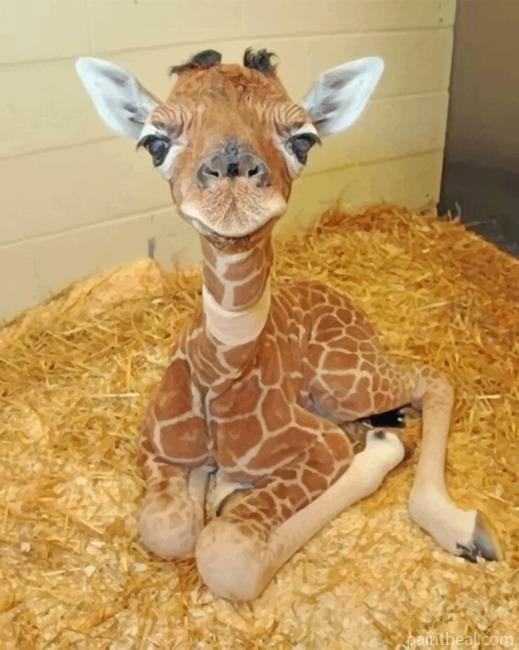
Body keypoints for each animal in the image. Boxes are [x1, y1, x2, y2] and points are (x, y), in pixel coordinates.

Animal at [76, 49, 502, 601]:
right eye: (155, 141)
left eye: (303, 138)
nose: (232, 175)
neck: (220, 375)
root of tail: (345, 302)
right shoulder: (154, 443)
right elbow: (169, 528)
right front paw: (213, 485)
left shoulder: (321, 446)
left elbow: (226, 555)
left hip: (346, 381)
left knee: (432, 379)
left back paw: (460, 525)